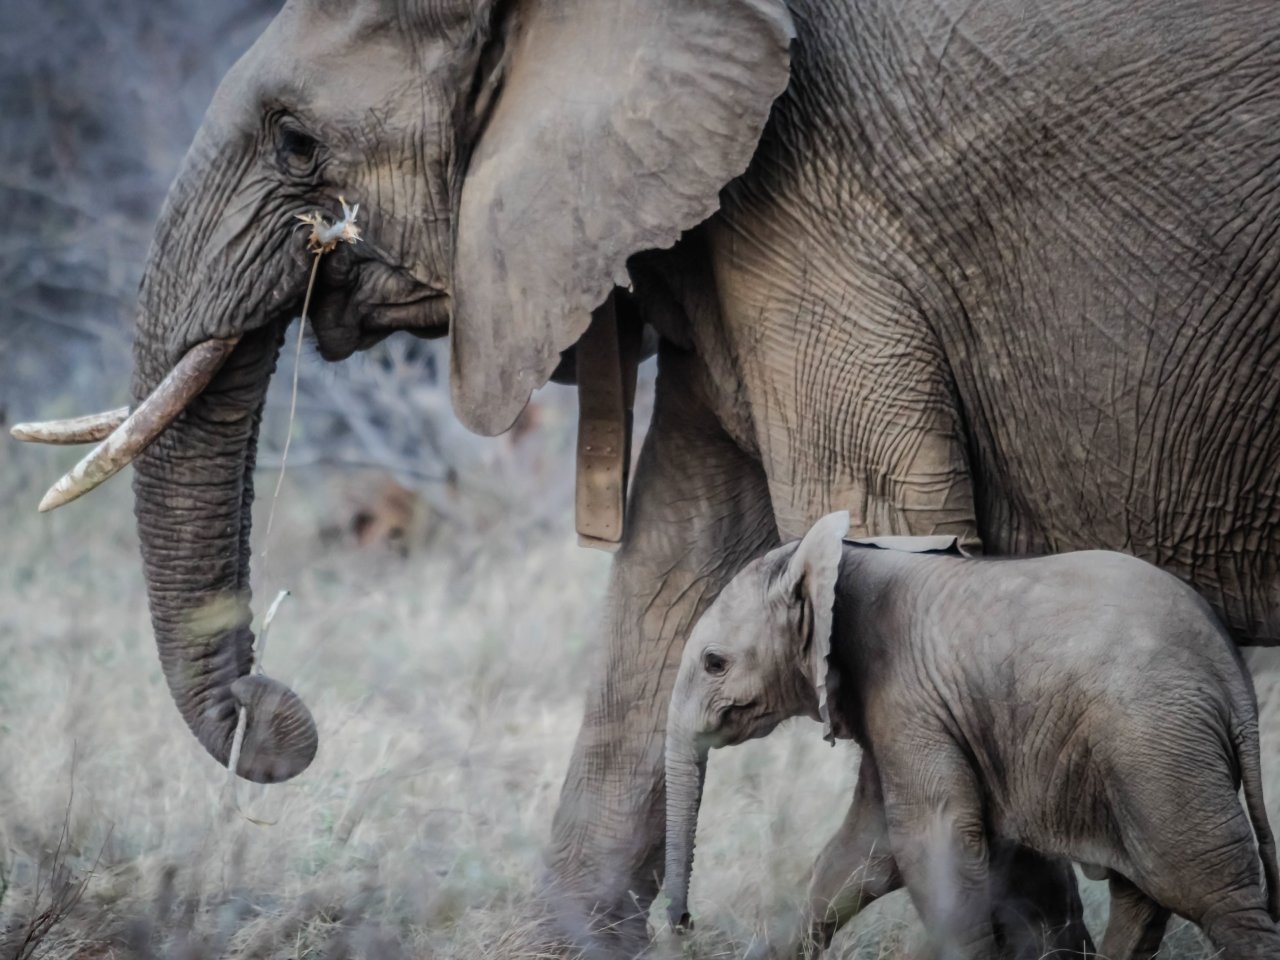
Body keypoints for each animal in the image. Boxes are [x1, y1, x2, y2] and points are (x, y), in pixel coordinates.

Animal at [665, 514, 1274, 960]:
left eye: (715, 663)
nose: (684, 923)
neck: (840, 560)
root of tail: (1233, 679)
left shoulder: (908, 696)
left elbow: (933, 842)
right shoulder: (903, 710)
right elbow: (861, 854)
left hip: (1156, 745)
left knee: (1213, 894)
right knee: (1144, 895)